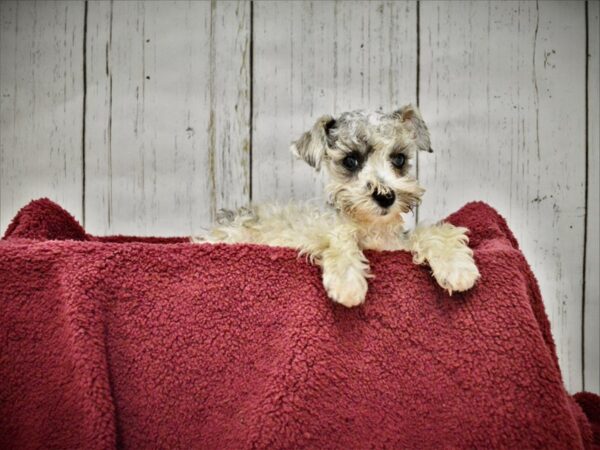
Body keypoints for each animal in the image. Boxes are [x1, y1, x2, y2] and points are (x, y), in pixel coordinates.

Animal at [195, 105, 480, 308]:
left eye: (399, 159)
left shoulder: (399, 244)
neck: (373, 228)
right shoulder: (313, 231)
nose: (385, 196)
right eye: (351, 160)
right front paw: (347, 283)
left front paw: (457, 269)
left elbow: (433, 232)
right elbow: (339, 236)